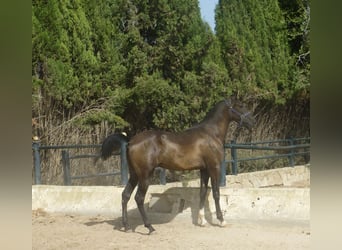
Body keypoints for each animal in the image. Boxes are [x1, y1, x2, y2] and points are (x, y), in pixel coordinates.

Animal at [100, 96, 255, 233]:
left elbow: (203, 193)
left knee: (125, 195)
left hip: (134, 175)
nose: (252, 122)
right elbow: (216, 193)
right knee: (139, 198)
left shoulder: (204, 170)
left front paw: (202, 221)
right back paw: (150, 227)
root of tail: (130, 141)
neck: (211, 134)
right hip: (145, 175)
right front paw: (222, 220)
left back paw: (126, 226)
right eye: (240, 106)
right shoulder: (213, 167)